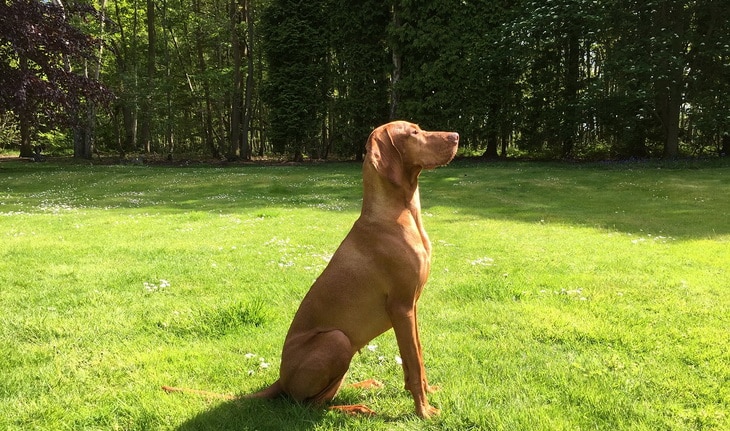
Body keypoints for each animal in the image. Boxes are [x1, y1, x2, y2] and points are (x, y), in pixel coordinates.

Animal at [247, 121, 458, 418]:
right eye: (413, 133)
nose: (456, 136)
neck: (401, 215)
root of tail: (281, 379)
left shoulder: (411, 307)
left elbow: (416, 357)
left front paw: (426, 394)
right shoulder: (401, 306)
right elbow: (414, 364)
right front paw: (424, 412)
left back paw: (366, 385)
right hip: (337, 340)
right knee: (310, 405)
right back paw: (359, 408)